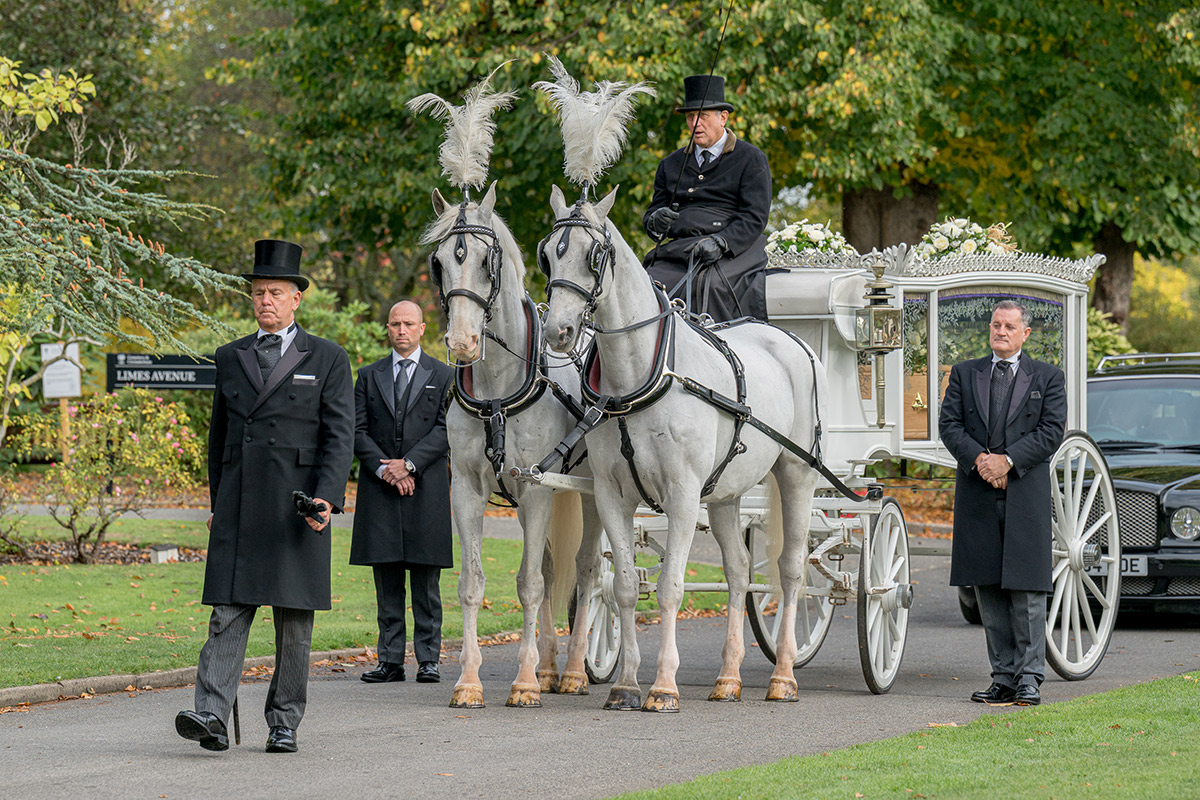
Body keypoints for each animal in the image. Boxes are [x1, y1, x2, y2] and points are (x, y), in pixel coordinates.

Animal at [425, 182, 605, 708]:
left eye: (488, 259)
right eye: (439, 262)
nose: (463, 342)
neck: (498, 388)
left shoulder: (537, 489)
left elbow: (529, 584)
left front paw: (523, 683)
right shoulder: (466, 489)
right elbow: (473, 583)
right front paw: (469, 680)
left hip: (593, 493)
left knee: (587, 572)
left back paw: (574, 671)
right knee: (550, 565)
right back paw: (548, 666)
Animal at [537, 184, 827, 712]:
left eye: (594, 255)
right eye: (547, 255)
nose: (558, 333)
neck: (638, 377)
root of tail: (790, 338)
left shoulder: (683, 494)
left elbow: (671, 586)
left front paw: (664, 686)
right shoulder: (611, 494)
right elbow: (624, 587)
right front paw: (627, 684)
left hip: (797, 475)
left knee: (792, 570)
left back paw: (783, 676)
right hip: (727, 494)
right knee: (738, 572)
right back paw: (728, 677)